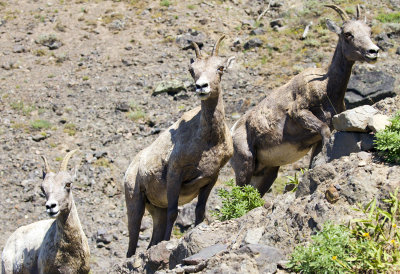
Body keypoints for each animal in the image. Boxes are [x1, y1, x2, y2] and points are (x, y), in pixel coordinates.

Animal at [123, 35, 233, 256]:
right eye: (192, 70)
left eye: (220, 68)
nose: (201, 87)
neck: (208, 142)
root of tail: (131, 168)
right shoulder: (175, 175)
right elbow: (174, 213)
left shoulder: (211, 178)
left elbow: (200, 210)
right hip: (135, 203)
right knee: (132, 241)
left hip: (157, 210)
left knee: (152, 239)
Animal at [230, 4, 380, 197]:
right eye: (348, 34)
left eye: (369, 31)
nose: (373, 51)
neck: (326, 87)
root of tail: (233, 131)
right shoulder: (299, 112)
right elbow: (323, 130)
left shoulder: (317, 140)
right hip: (245, 164)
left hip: (267, 172)